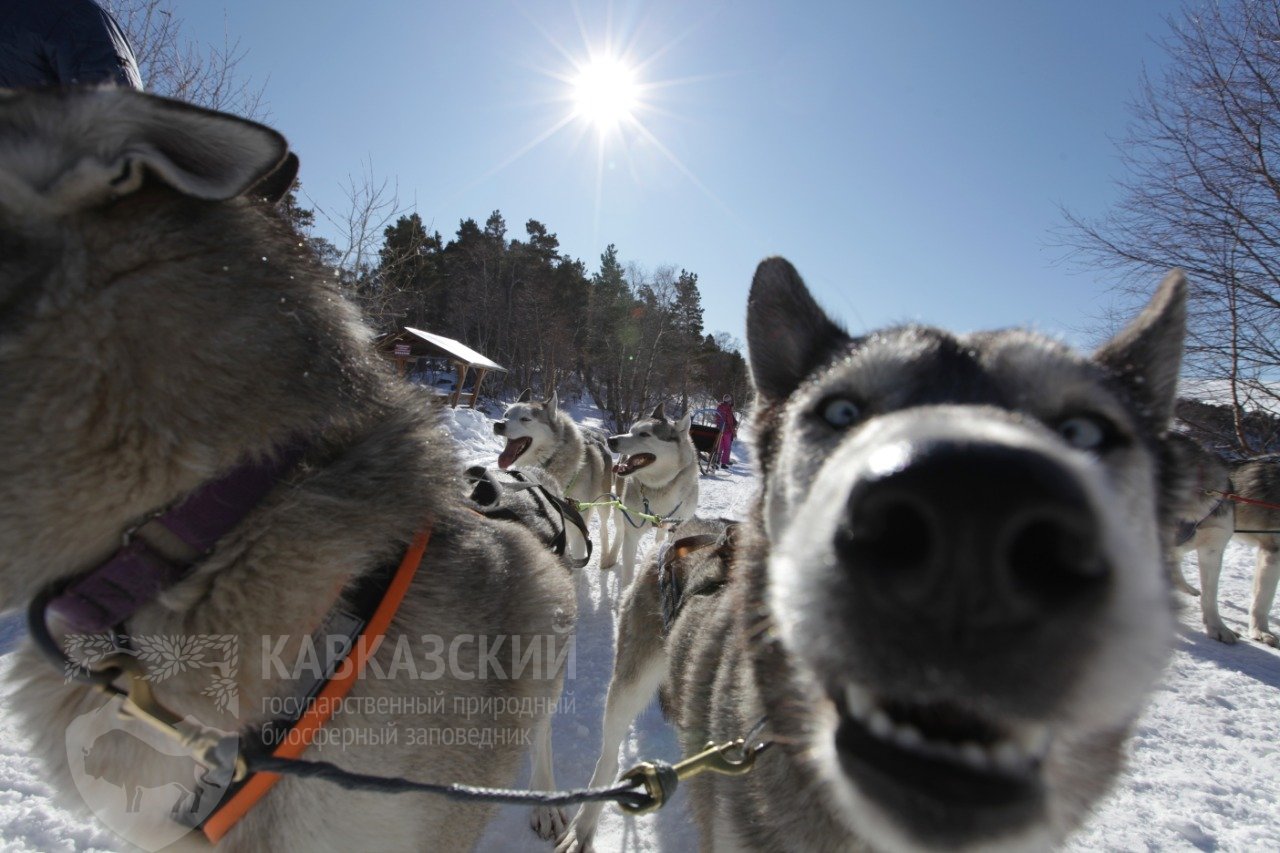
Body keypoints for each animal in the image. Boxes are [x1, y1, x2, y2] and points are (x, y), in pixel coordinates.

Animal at [491, 389, 611, 563]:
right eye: (506, 414)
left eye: (525, 419)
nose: (498, 424)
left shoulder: (578, 535)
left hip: (604, 503)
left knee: (604, 527)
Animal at [601, 404, 696, 591]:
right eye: (631, 430)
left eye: (644, 434)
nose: (611, 439)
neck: (659, 487)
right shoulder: (631, 534)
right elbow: (628, 575)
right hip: (620, 511)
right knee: (619, 532)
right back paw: (612, 556)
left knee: (659, 536)